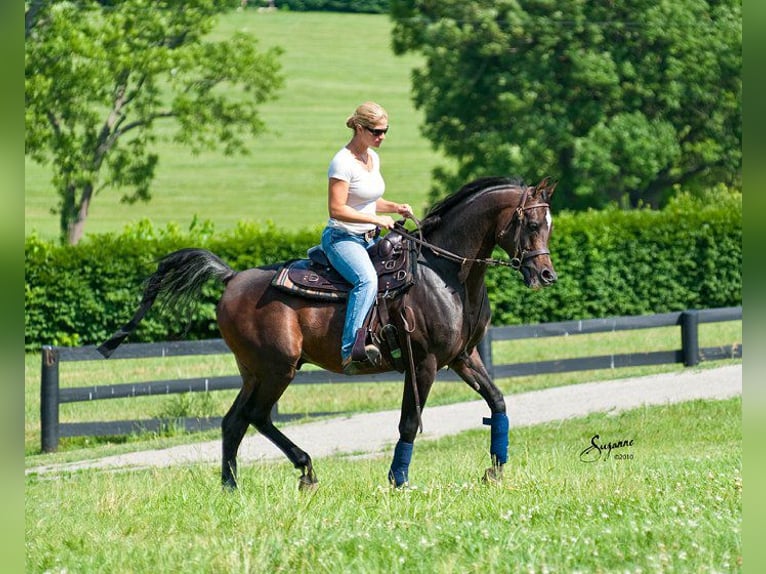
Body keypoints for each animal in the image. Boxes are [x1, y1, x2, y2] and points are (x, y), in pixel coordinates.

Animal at [100, 176, 560, 490]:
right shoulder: (424, 363)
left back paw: (236, 485)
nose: (546, 275)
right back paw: (301, 470)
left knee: (236, 421)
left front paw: (495, 469)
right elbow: (409, 423)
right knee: (254, 417)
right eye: (531, 223)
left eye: (551, 225)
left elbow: (497, 401)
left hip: (256, 372)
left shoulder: (464, 357)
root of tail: (231, 279)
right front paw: (398, 480)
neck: (443, 273)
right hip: (277, 369)